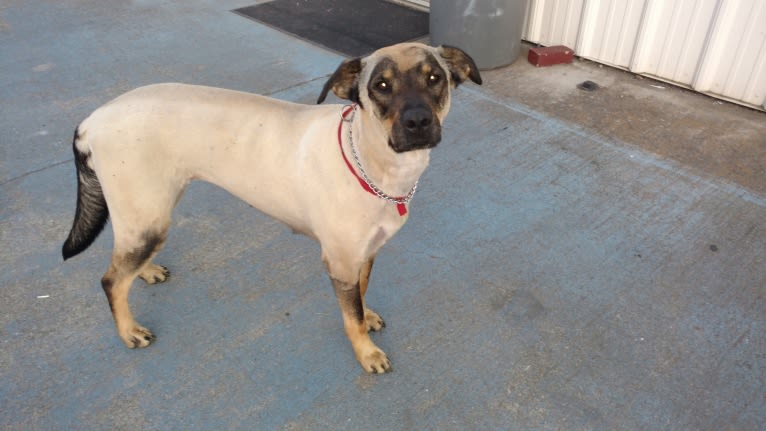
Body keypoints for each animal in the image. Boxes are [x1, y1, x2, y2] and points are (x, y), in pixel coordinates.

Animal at [61, 44, 480, 374]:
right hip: (147, 215)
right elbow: (353, 319)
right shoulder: (341, 262)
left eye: (434, 78)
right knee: (111, 281)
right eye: (380, 86)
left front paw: (368, 312)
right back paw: (128, 330)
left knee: (125, 262)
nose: (418, 122)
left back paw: (145, 271)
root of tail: (91, 119)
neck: (369, 160)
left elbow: (361, 297)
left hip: (151, 211)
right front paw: (367, 353)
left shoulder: (367, 252)